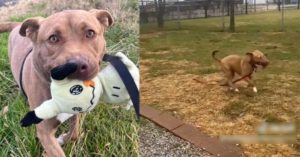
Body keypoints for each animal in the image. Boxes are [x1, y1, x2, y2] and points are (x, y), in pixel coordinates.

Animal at [0, 9, 113, 156]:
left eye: (90, 33)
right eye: (53, 38)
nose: (76, 65)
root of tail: (17, 25)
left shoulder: (75, 112)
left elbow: (75, 133)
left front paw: (63, 139)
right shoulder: (44, 133)